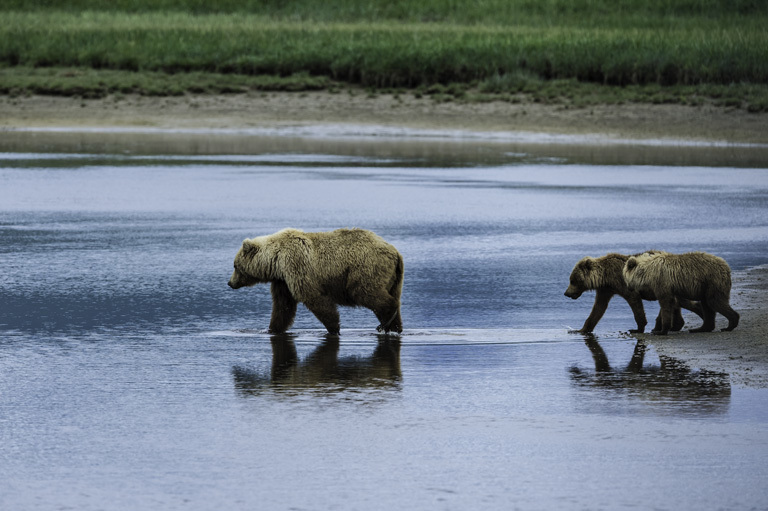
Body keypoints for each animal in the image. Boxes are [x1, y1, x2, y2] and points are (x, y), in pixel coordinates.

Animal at [226, 228, 402, 336]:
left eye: (235, 265)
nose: (230, 283)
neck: (276, 261)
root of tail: (395, 251)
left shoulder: (296, 266)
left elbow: (313, 297)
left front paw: (333, 328)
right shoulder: (282, 281)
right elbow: (283, 307)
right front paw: (272, 329)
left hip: (365, 268)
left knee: (366, 292)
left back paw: (386, 320)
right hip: (394, 279)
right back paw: (395, 326)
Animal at [564, 253, 704, 334]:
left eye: (573, 280)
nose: (566, 293)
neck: (605, 277)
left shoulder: (624, 283)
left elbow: (635, 303)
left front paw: (637, 328)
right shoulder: (606, 290)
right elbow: (598, 308)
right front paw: (580, 330)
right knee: (677, 302)